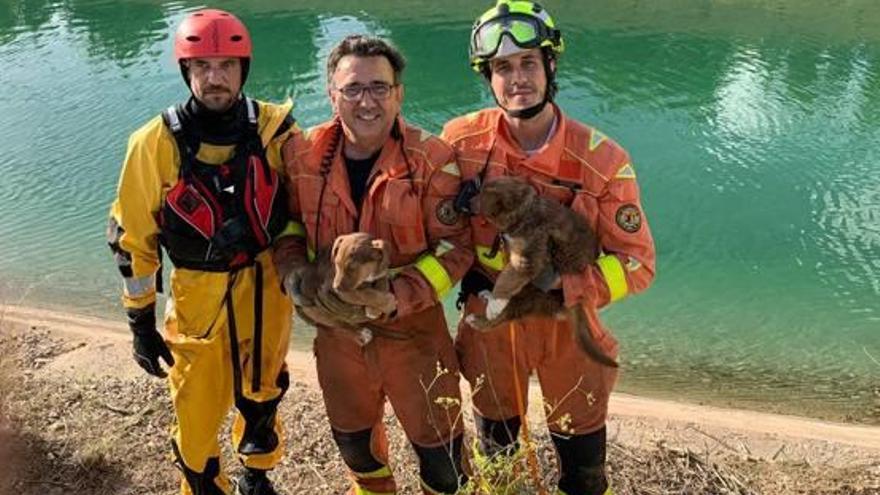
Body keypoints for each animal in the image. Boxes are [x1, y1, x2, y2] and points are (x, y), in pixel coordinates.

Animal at [468, 175, 620, 368]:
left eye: (482, 196)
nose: (467, 202)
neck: (525, 212)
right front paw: (494, 298)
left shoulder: (528, 258)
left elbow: (507, 278)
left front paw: (496, 301)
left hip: (532, 293)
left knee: (504, 315)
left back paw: (481, 316)